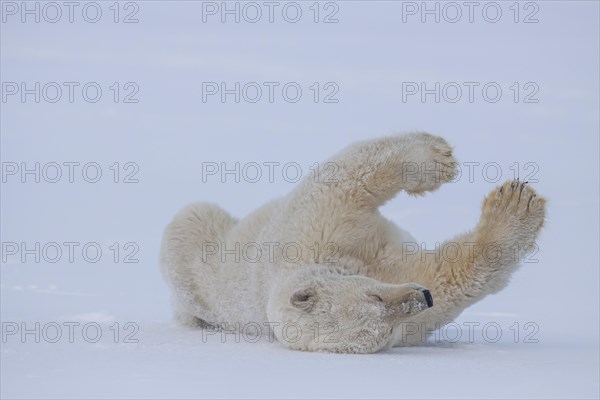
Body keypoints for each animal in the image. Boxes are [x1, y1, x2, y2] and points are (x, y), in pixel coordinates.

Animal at [162, 132, 548, 354]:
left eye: (374, 296)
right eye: (380, 332)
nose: (423, 298)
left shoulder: (319, 226)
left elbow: (351, 175)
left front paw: (437, 158)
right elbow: (452, 275)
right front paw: (515, 206)